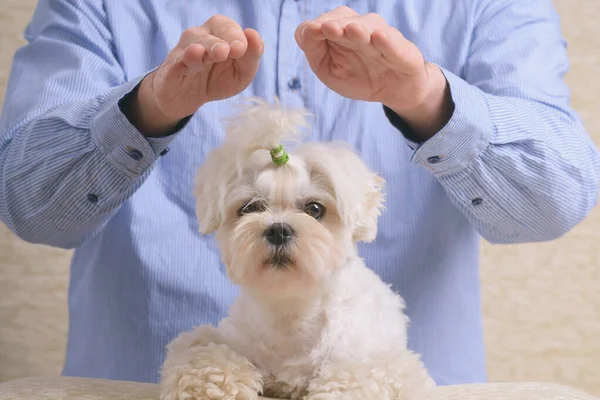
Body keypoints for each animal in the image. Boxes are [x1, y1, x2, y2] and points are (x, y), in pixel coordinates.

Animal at [157, 97, 434, 400]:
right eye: (249, 208)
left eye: (314, 209)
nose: (278, 229)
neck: (292, 312)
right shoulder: (222, 340)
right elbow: (206, 356)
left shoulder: (380, 361)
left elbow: (355, 375)